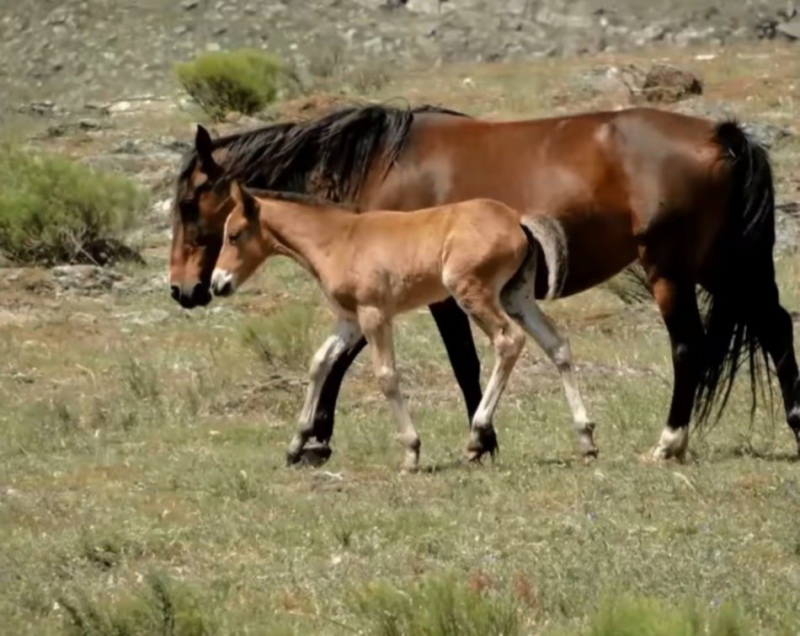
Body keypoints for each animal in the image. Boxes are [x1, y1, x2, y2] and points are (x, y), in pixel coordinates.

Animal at [209, 179, 596, 472]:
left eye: (234, 234)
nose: (217, 284)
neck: (339, 239)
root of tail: (517, 219)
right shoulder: (349, 320)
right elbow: (320, 362)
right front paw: (296, 444)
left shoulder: (374, 314)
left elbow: (386, 375)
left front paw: (411, 451)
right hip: (517, 296)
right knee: (556, 343)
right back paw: (586, 437)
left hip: (473, 292)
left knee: (508, 341)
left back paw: (476, 437)